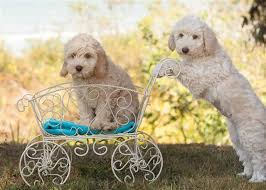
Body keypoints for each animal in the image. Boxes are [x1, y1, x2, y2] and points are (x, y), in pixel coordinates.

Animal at [154, 16, 266, 183]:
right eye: (180, 35)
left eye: (195, 37)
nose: (185, 49)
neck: (203, 55)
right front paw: (159, 69)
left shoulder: (198, 79)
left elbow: (178, 65)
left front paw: (162, 66)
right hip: (237, 138)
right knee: (246, 157)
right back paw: (245, 174)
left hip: (251, 136)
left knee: (258, 157)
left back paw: (257, 179)